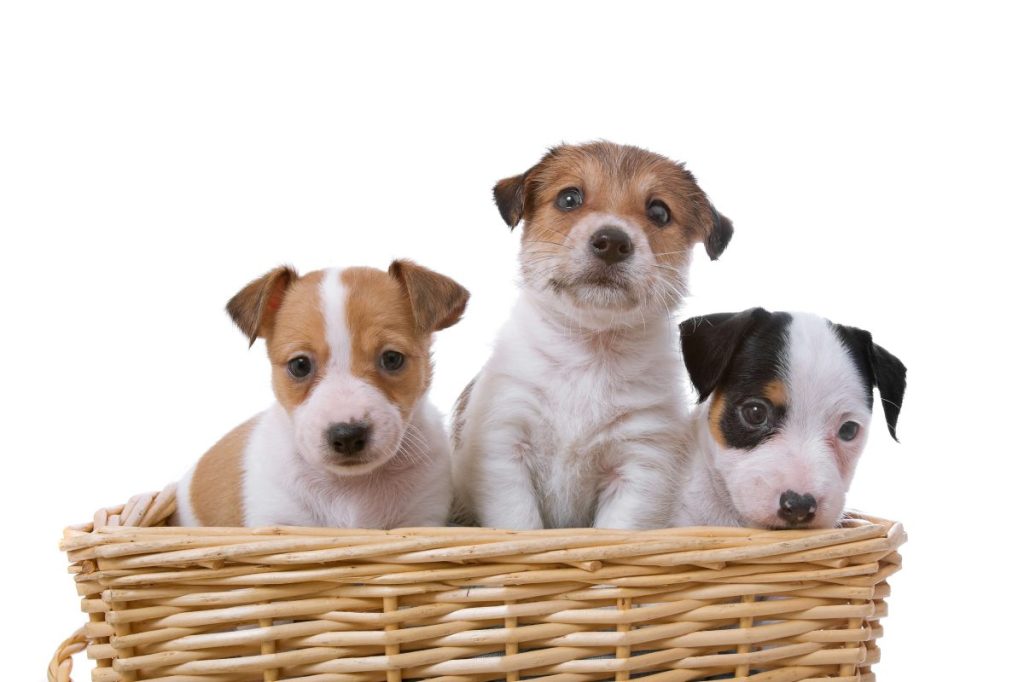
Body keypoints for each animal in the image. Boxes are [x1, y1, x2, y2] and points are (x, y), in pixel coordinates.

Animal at [172, 259, 468, 524]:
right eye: (300, 365)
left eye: (392, 359)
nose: (347, 436)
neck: (352, 486)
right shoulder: (279, 520)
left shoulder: (422, 518)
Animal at [452, 140, 733, 528]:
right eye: (569, 198)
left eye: (659, 212)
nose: (612, 242)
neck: (589, 350)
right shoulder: (504, 448)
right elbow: (519, 523)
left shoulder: (640, 464)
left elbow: (617, 529)